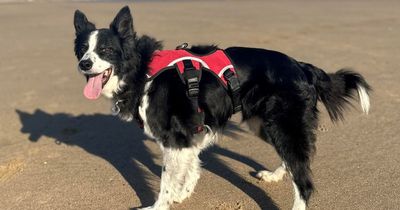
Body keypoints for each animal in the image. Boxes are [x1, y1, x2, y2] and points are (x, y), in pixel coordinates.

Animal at [72, 5, 372, 209]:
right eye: (82, 49)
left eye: (106, 50)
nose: (84, 64)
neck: (143, 71)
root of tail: (302, 66)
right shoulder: (192, 131)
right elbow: (190, 165)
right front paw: (184, 193)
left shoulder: (174, 137)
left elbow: (167, 180)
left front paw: (162, 204)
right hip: (263, 123)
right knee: (294, 161)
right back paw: (274, 175)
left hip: (282, 124)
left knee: (304, 179)